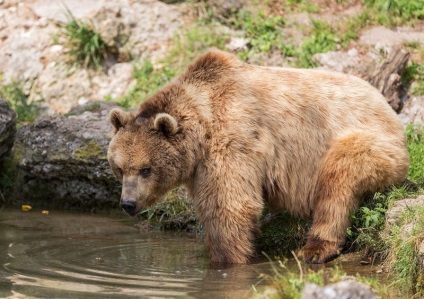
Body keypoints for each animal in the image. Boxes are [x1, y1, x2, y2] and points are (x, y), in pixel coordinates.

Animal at [107, 49, 410, 264]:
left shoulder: (234, 137)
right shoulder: (200, 165)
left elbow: (230, 205)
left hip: (366, 141)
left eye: (145, 169)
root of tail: (386, 106)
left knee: (338, 180)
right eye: (120, 168)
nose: (128, 203)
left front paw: (227, 259)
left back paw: (315, 248)